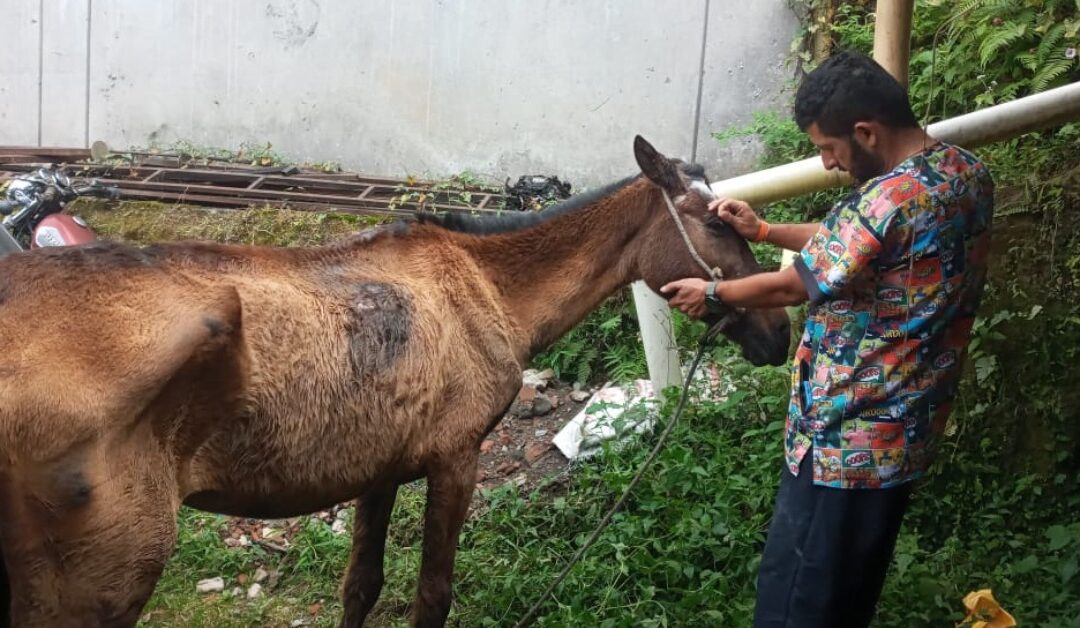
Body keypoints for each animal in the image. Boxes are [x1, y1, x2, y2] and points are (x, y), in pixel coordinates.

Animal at [0, 134, 790, 622]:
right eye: (717, 223)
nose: (778, 334)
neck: (495, 293)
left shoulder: (377, 464)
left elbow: (362, 586)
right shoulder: (457, 455)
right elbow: (430, 596)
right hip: (103, 575)